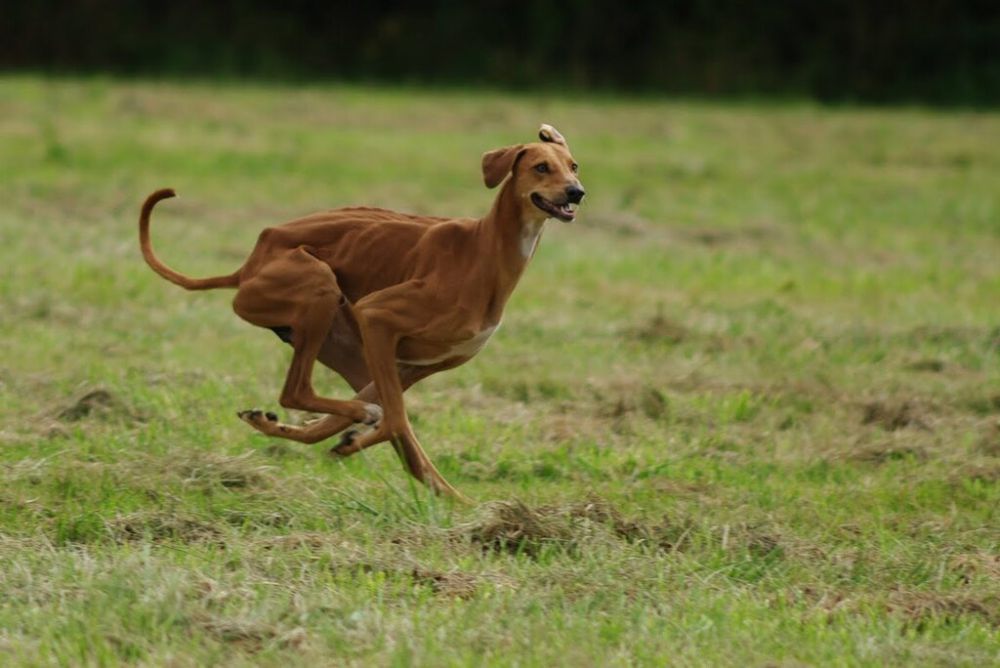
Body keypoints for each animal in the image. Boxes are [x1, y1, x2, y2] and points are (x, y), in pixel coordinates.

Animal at [137, 124, 584, 500]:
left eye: (574, 166)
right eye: (541, 166)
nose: (576, 192)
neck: (486, 250)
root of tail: (247, 266)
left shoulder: (413, 365)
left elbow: (392, 424)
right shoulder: (377, 318)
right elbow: (396, 419)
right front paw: (358, 437)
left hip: (349, 349)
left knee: (340, 412)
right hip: (320, 289)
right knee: (299, 391)